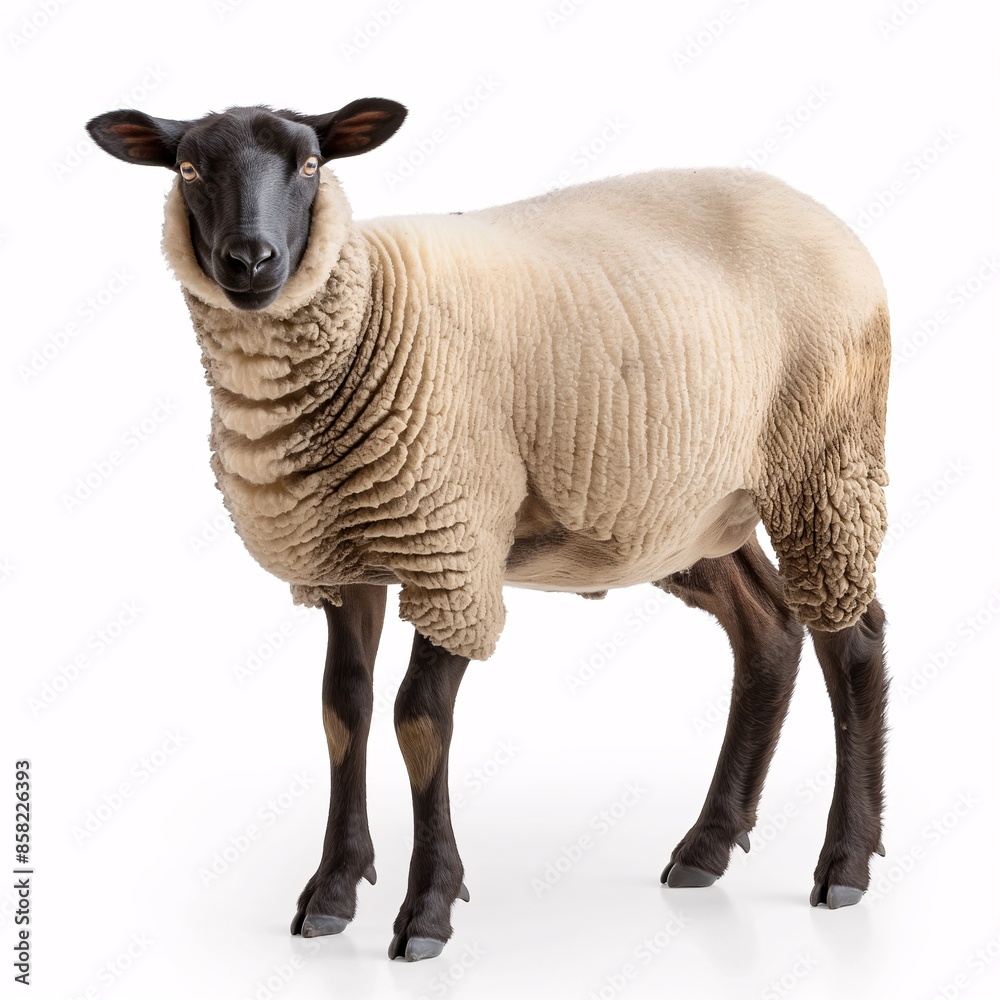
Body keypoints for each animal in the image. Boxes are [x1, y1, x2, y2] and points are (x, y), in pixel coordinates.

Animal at [86, 100, 890, 962]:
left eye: (308, 164)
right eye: (189, 168)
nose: (250, 259)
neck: (368, 308)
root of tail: (821, 215)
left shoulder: (452, 546)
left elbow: (417, 719)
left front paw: (427, 909)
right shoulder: (347, 556)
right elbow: (343, 711)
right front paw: (332, 892)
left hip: (824, 463)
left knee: (852, 642)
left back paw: (845, 865)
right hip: (689, 506)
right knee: (768, 629)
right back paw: (706, 847)